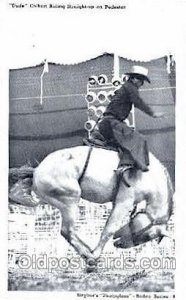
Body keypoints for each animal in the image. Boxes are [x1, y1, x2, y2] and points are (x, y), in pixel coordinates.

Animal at [9, 146, 174, 264]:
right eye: (147, 235)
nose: (119, 244)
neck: (149, 176)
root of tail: (37, 170)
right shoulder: (124, 202)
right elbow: (108, 229)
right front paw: (96, 254)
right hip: (71, 199)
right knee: (67, 231)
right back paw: (89, 256)